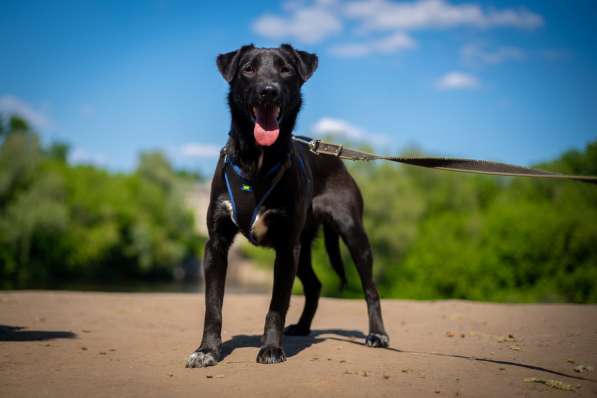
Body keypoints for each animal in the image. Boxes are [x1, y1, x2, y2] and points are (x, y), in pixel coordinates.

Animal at [187, 44, 392, 366]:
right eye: (248, 69)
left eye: (286, 69)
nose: (268, 91)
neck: (256, 161)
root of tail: (334, 158)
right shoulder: (216, 244)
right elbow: (213, 306)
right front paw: (207, 350)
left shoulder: (285, 247)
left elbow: (277, 305)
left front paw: (271, 348)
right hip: (303, 246)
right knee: (314, 284)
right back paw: (303, 326)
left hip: (352, 233)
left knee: (370, 287)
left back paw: (377, 334)